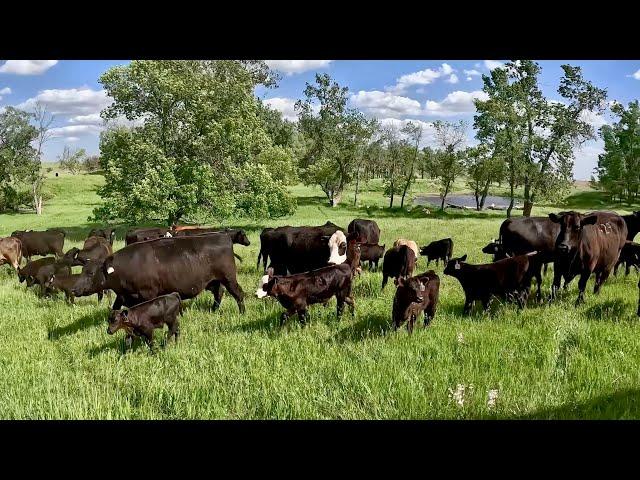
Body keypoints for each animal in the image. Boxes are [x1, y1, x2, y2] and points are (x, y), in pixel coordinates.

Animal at [72, 233, 245, 316]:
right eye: (82, 270)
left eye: (91, 273)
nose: (74, 289)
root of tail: (223, 236)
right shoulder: (123, 296)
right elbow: (115, 308)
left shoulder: (148, 294)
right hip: (213, 280)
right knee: (219, 293)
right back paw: (213, 310)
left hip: (229, 278)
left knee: (238, 294)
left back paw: (242, 313)